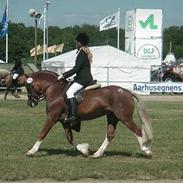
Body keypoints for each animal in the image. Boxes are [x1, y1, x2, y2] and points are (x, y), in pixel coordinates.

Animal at [25, 70, 153, 157]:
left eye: (28, 86)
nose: (30, 103)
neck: (55, 89)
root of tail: (126, 91)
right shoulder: (64, 121)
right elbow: (69, 138)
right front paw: (85, 150)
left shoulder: (52, 117)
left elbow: (42, 133)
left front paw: (31, 151)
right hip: (112, 117)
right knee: (110, 135)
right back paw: (97, 154)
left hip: (125, 118)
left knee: (137, 131)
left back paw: (146, 150)